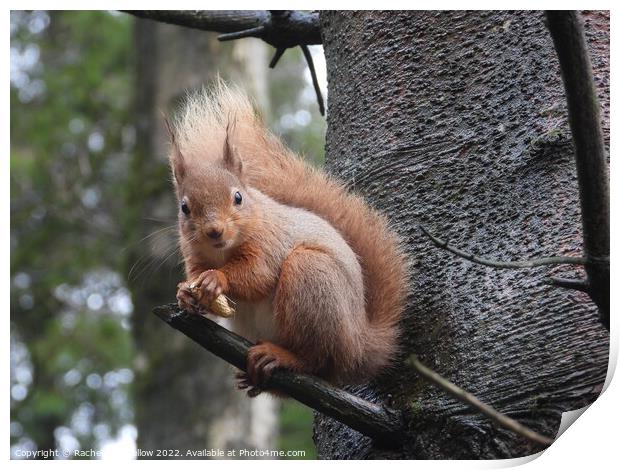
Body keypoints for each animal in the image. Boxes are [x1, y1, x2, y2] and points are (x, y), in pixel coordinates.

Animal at [166, 82, 406, 394]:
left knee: (318, 360)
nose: (214, 231)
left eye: (238, 197)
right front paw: (185, 292)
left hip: (312, 277)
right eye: (184, 207)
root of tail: (360, 344)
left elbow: (259, 274)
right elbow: (196, 275)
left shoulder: (270, 241)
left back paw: (282, 357)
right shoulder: (194, 254)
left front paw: (216, 279)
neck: (222, 252)